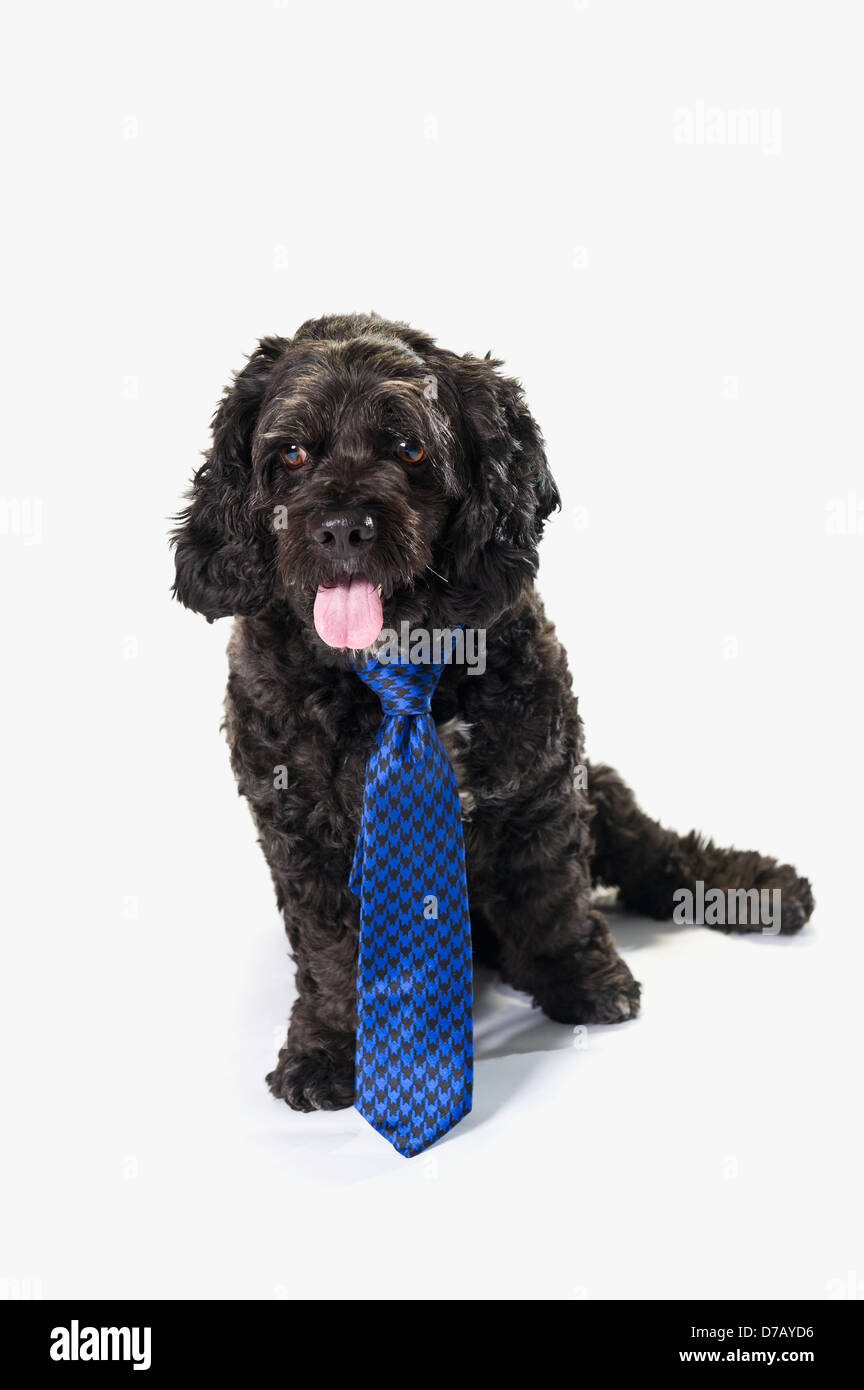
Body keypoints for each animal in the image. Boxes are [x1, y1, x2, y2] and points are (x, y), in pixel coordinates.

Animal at [172, 309, 816, 1112]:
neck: (392, 672)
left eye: (409, 447)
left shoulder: (544, 782)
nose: (344, 527)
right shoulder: (300, 830)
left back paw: (754, 891)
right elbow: (329, 951)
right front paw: (330, 1048)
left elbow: (551, 892)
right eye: (289, 453)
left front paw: (578, 977)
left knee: (655, 851)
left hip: (604, 789)